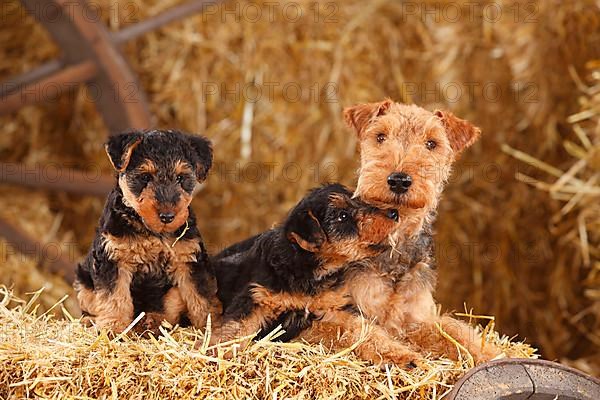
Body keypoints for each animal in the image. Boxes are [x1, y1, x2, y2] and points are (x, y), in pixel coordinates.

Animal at [74, 130, 220, 332]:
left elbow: (201, 298)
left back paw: (151, 321)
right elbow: (114, 298)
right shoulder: (113, 260)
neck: (152, 233)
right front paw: (113, 328)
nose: (167, 216)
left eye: (181, 178)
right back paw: (90, 321)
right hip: (84, 282)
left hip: (172, 293)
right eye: (145, 177)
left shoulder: (190, 259)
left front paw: (211, 327)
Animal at [213, 184, 424, 366]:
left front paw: (401, 355)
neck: (308, 271)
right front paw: (218, 354)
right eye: (342, 215)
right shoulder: (255, 298)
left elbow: (368, 331)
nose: (394, 212)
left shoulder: (337, 307)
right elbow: (234, 330)